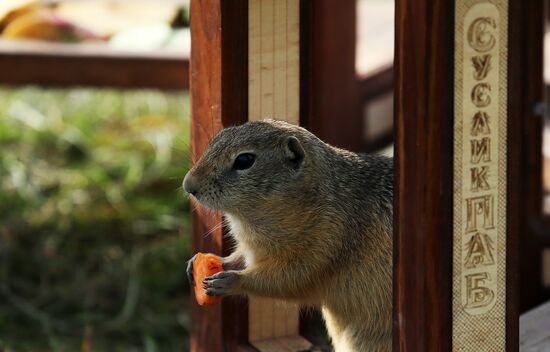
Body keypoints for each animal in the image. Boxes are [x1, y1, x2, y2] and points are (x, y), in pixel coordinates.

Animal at [183, 119, 394, 350]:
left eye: (244, 160)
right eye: (216, 138)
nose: (188, 185)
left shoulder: (320, 252)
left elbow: (285, 281)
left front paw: (232, 280)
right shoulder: (253, 250)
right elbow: (240, 259)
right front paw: (204, 262)